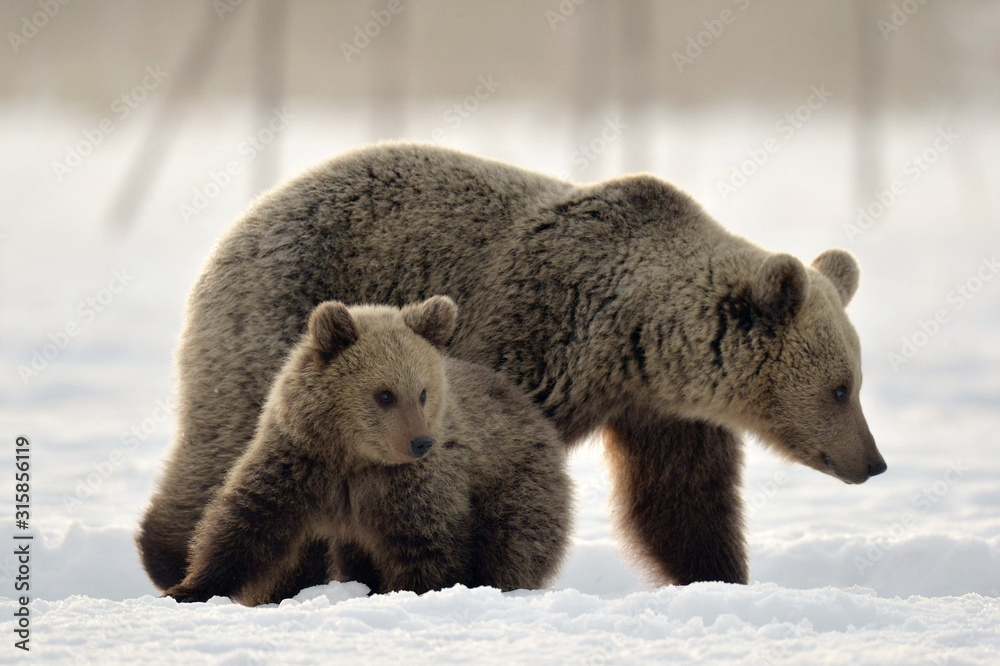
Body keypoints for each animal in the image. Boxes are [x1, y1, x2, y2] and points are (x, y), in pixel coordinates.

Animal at [162, 296, 572, 605]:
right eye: (385, 394)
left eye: (423, 392)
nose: (421, 442)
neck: (353, 457)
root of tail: (532, 410)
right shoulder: (299, 462)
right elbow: (247, 524)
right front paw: (187, 589)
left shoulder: (410, 488)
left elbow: (426, 547)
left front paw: (418, 592)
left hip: (515, 484)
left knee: (514, 545)